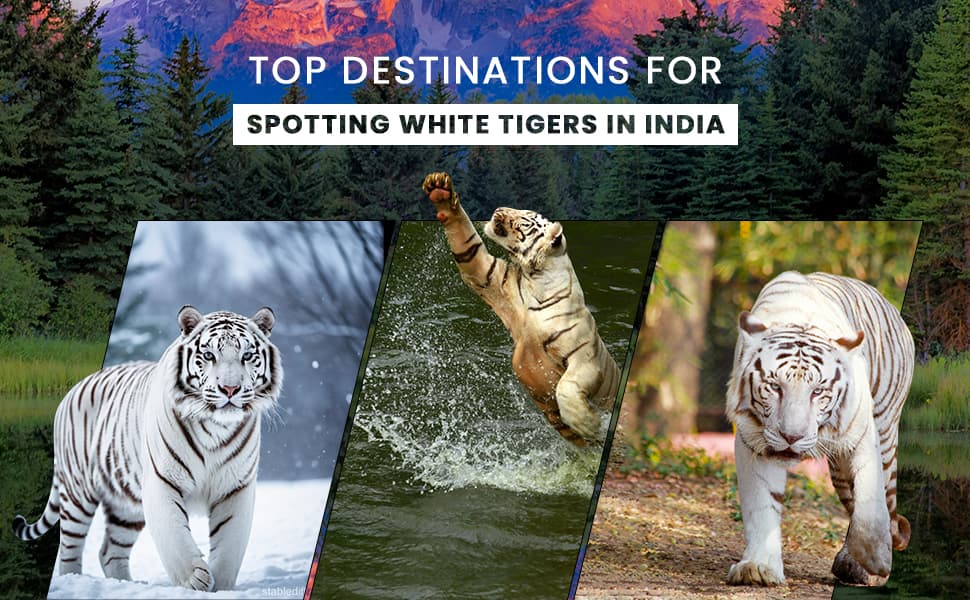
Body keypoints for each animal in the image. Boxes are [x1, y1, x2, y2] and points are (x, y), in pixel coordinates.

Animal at [12, 306, 282, 592]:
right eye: (209, 355)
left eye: (247, 356)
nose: (230, 389)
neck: (215, 427)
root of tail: (69, 392)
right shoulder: (162, 481)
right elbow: (173, 533)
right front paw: (194, 580)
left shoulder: (235, 487)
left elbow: (230, 543)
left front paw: (220, 586)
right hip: (78, 493)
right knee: (69, 550)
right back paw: (73, 579)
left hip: (126, 506)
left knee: (109, 551)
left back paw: (125, 583)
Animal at [421, 171, 620, 446]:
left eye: (525, 220)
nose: (497, 209)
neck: (537, 279)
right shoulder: (489, 275)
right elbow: (468, 246)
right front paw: (440, 190)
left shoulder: (585, 356)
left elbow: (566, 388)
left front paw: (590, 424)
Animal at [725, 271, 913, 587]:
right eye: (774, 386)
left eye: (818, 391)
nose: (792, 436)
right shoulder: (754, 442)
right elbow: (761, 505)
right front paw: (759, 567)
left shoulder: (863, 437)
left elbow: (869, 511)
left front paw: (878, 561)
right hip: (839, 472)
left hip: (884, 435)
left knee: (882, 501)